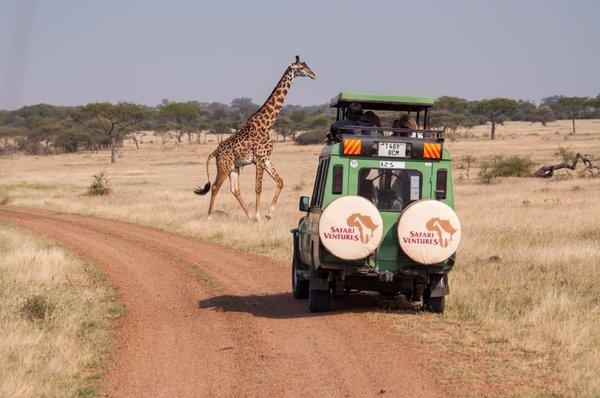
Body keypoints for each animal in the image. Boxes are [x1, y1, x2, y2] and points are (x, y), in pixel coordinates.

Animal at [196, 55, 318, 221]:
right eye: (301, 68)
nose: (313, 74)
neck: (266, 124)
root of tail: (214, 152)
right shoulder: (259, 159)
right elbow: (258, 188)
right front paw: (259, 216)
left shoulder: (266, 158)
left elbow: (280, 182)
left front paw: (268, 214)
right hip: (224, 166)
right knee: (215, 186)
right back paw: (209, 217)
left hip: (234, 167)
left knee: (234, 189)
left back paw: (248, 216)